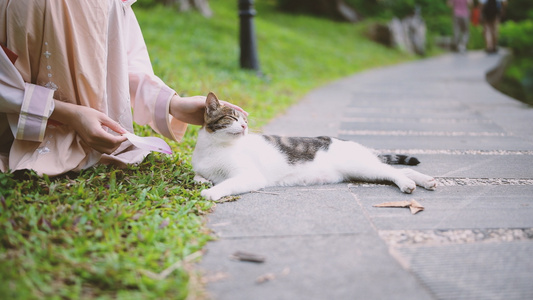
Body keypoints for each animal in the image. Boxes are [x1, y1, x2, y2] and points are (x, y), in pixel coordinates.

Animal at [192, 93, 436, 202]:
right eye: (232, 118)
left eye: (245, 120)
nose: (244, 126)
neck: (214, 147)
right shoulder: (201, 168)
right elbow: (198, 176)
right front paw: (204, 182)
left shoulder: (249, 175)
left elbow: (227, 183)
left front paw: (211, 191)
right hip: (363, 172)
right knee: (400, 170)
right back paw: (426, 181)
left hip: (362, 166)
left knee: (396, 172)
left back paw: (409, 184)